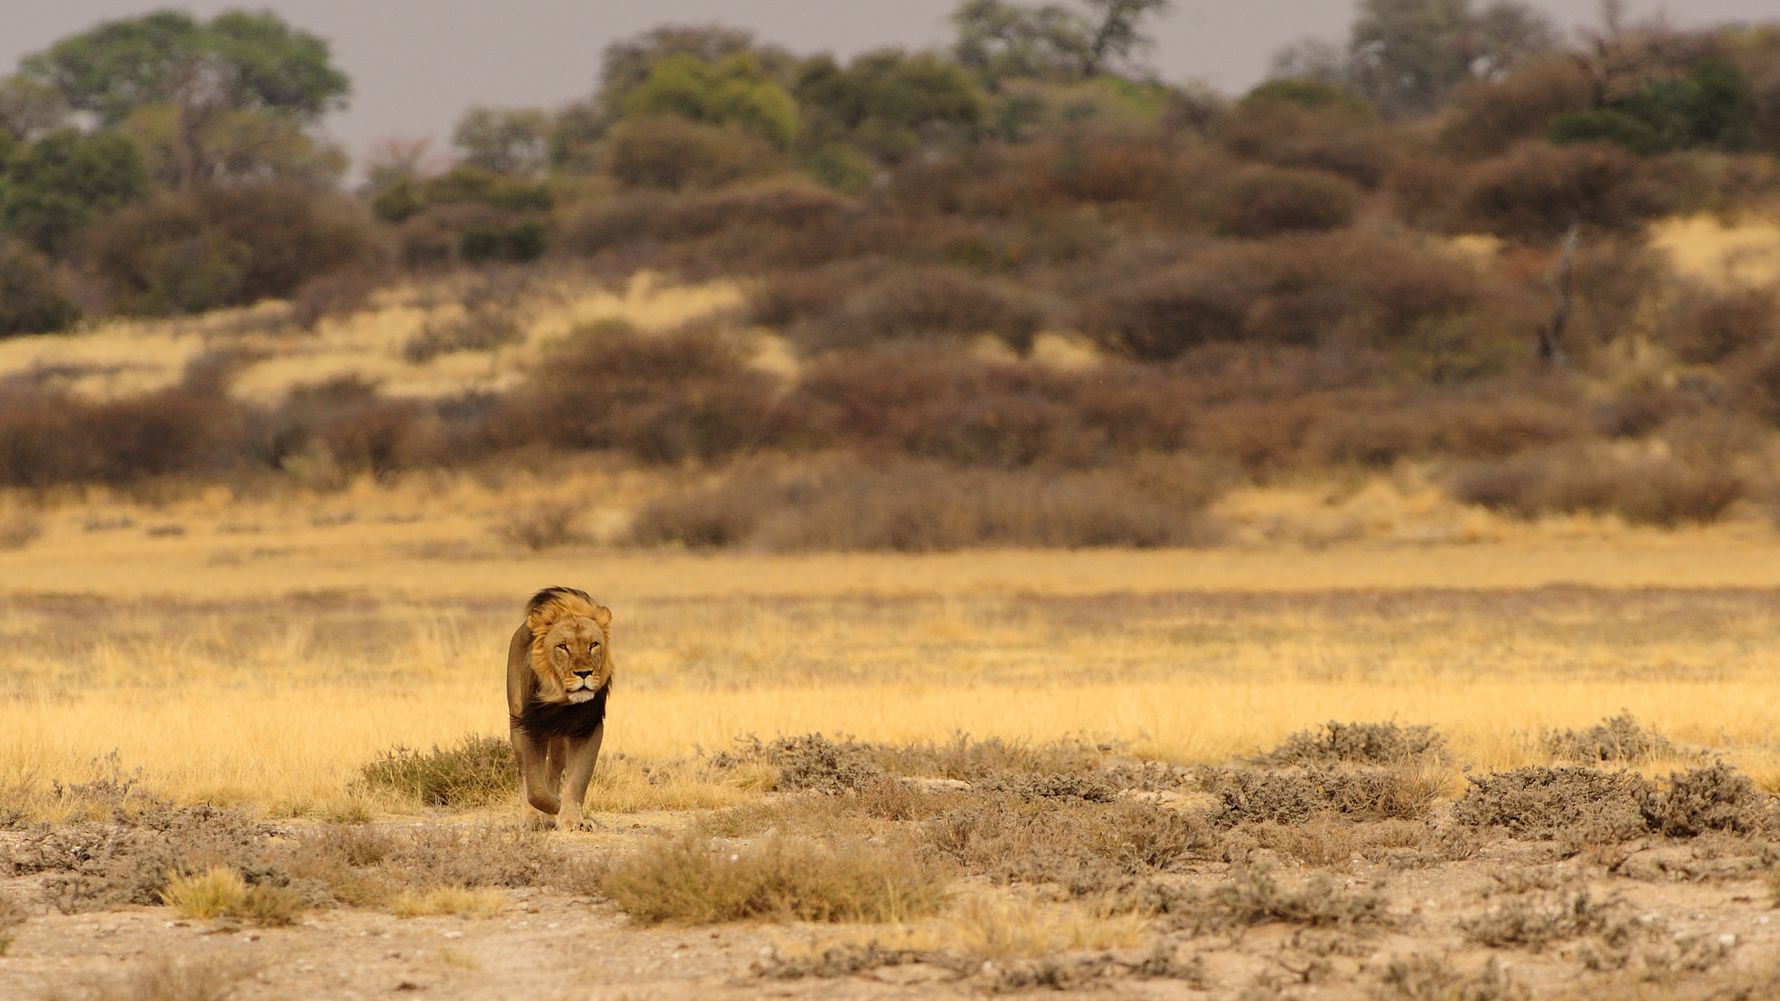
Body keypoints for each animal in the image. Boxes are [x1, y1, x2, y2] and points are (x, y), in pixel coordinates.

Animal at [506, 586, 613, 830]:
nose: (584, 673)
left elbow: (578, 780)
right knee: (525, 775)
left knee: (553, 772)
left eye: (593, 644)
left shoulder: (588, 728)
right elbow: (535, 789)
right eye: (562, 647)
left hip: (560, 741)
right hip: (516, 724)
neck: (562, 701)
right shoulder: (532, 728)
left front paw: (573, 818)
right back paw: (533, 818)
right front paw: (555, 810)